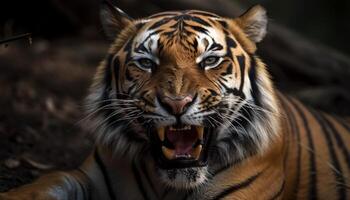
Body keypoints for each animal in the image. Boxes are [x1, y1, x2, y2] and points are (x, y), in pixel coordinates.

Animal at [0, 0, 350, 199]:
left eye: (210, 60)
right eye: (146, 62)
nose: (177, 104)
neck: (168, 184)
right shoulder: (84, 177)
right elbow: (39, 186)